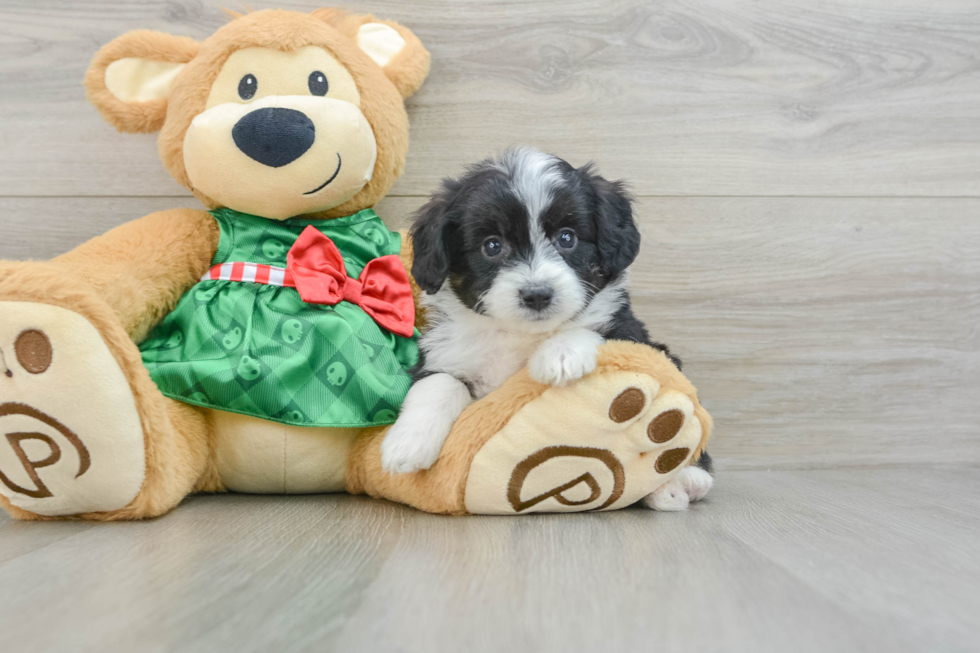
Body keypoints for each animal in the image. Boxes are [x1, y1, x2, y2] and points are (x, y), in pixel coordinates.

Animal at [380, 149, 712, 510]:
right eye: (492, 246)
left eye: (567, 238)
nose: (537, 294)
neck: (519, 334)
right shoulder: (444, 352)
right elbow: (439, 384)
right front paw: (407, 442)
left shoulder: (633, 334)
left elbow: (594, 328)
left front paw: (559, 355)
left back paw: (681, 481)